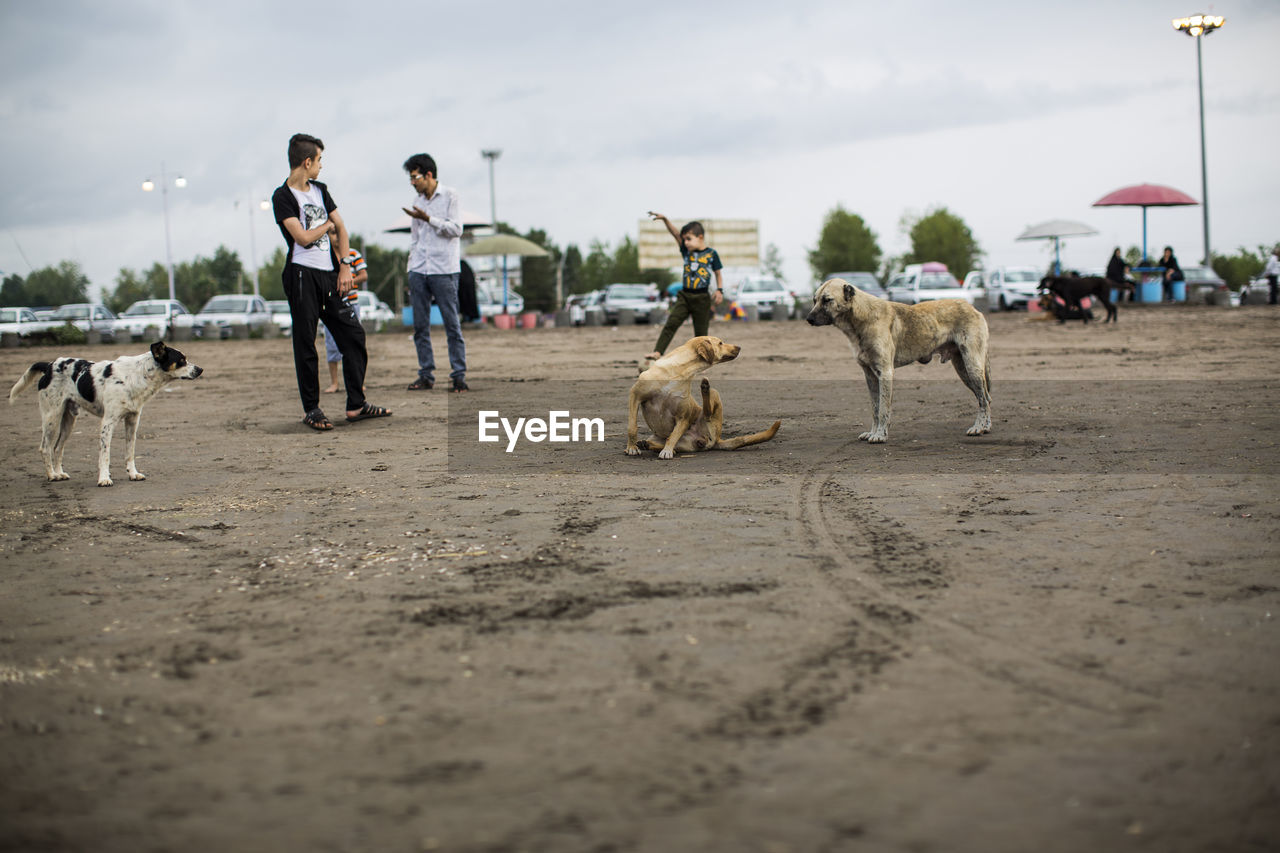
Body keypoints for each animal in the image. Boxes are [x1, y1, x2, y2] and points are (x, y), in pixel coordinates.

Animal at [6, 338, 202, 484]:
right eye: (182, 360)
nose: (200, 369)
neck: (136, 376)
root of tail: (48, 365)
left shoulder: (132, 420)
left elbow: (130, 452)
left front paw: (133, 473)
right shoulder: (108, 422)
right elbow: (105, 454)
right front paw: (104, 478)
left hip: (68, 421)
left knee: (57, 448)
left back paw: (59, 473)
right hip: (51, 418)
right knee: (45, 448)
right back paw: (51, 475)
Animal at [622, 335, 778, 461]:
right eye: (720, 343)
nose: (739, 347)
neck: (680, 371)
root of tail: (716, 440)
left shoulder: (683, 416)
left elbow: (673, 436)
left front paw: (667, 451)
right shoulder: (635, 396)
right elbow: (632, 427)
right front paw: (632, 448)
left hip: (714, 399)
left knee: (707, 412)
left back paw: (705, 388)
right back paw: (646, 444)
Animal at [803, 279, 993, 440]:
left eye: (827, 300)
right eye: (814, 300)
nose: (808, 319)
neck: (862, 317)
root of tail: (973, 308)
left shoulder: (885, 372)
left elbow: (883, 409)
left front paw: (880, 435)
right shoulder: (870, 376)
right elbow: (875, 408)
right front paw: (872, 432)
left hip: (972, 367)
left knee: (983, 399)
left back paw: (979, 427)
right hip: (963, 369)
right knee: (985, 398)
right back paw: (986, 427)